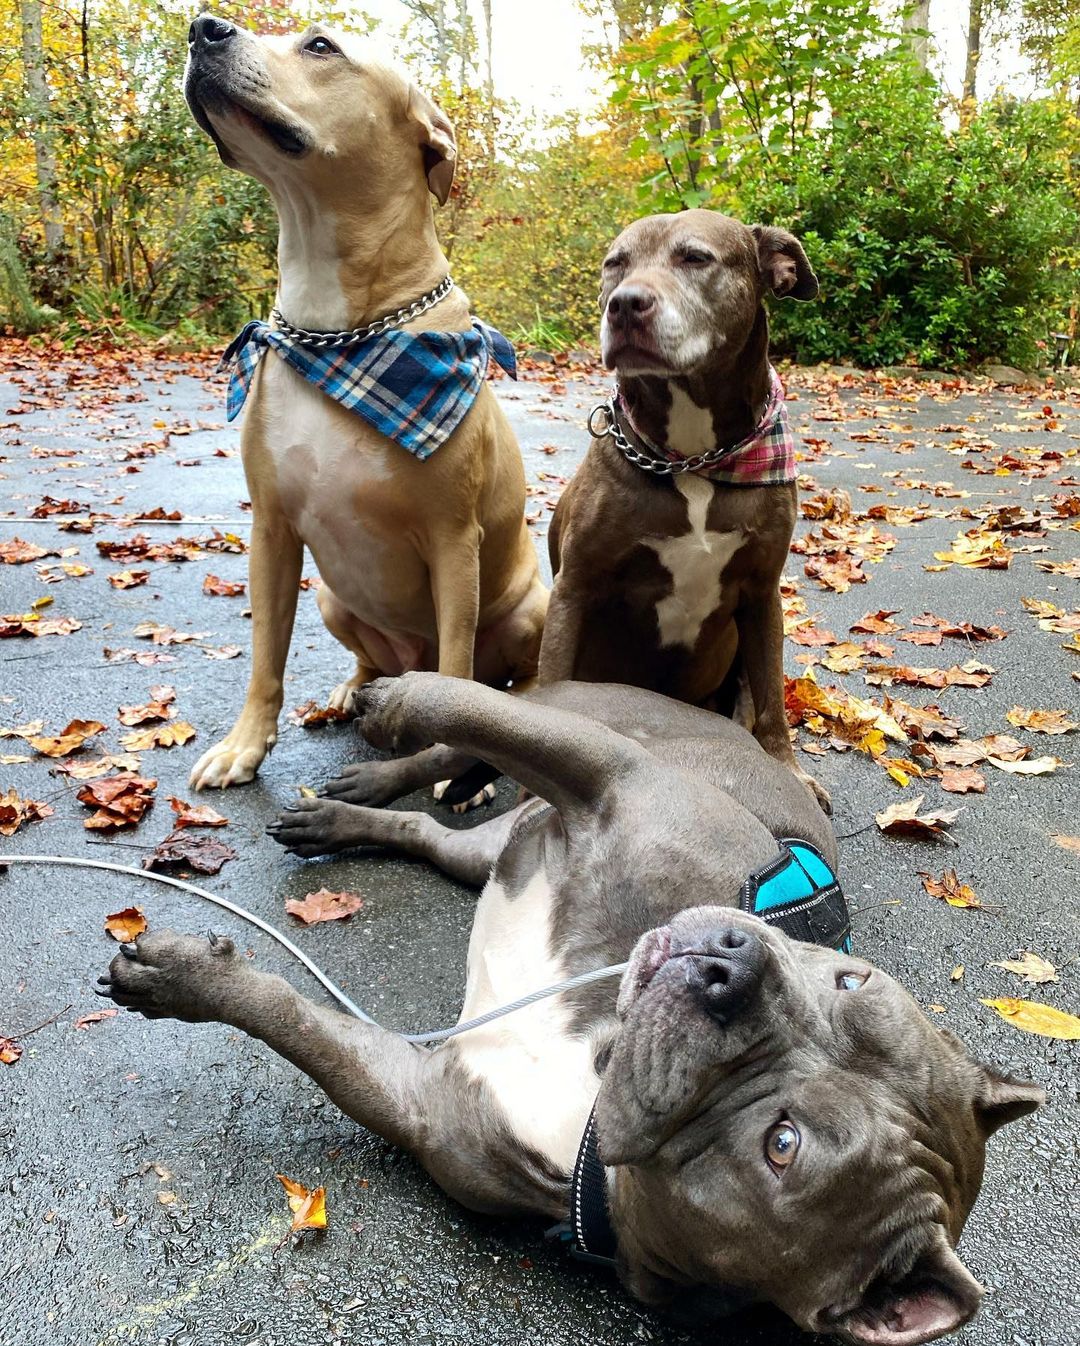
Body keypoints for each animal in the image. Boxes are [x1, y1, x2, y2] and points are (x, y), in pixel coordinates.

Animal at [98, 678, 1034, 1340]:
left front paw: (180, 979)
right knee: (469, 741)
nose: (734, 968)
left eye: (784, 1145)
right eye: (852, 983)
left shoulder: (415, 1094)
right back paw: (367, 770)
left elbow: (292, 1021)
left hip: (499, 841)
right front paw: (388, 701)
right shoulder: (616, 777)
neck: (596, 1070)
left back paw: (348, 809)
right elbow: (463, 702)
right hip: (582, 733)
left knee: (439, 831)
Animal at [181, 13, 546, 786]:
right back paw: (354, 687)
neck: (335, 335)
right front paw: (244, 745)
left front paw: (454, 763)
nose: (203, 27)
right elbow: (266, 659)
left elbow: (459, 668)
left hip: (526, 606)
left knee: (506, 674)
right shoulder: (272, 532)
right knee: (372, 659)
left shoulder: (454, 544)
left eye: (320, 46)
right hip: (331, 597)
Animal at [538, 204, 824, 802]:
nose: (625, 304)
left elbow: (773, 700)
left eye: (695, 257)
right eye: (614, 264)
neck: (695, 461)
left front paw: (789, 774)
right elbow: (553, 692)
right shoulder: (574, 588)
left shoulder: (762, 593)